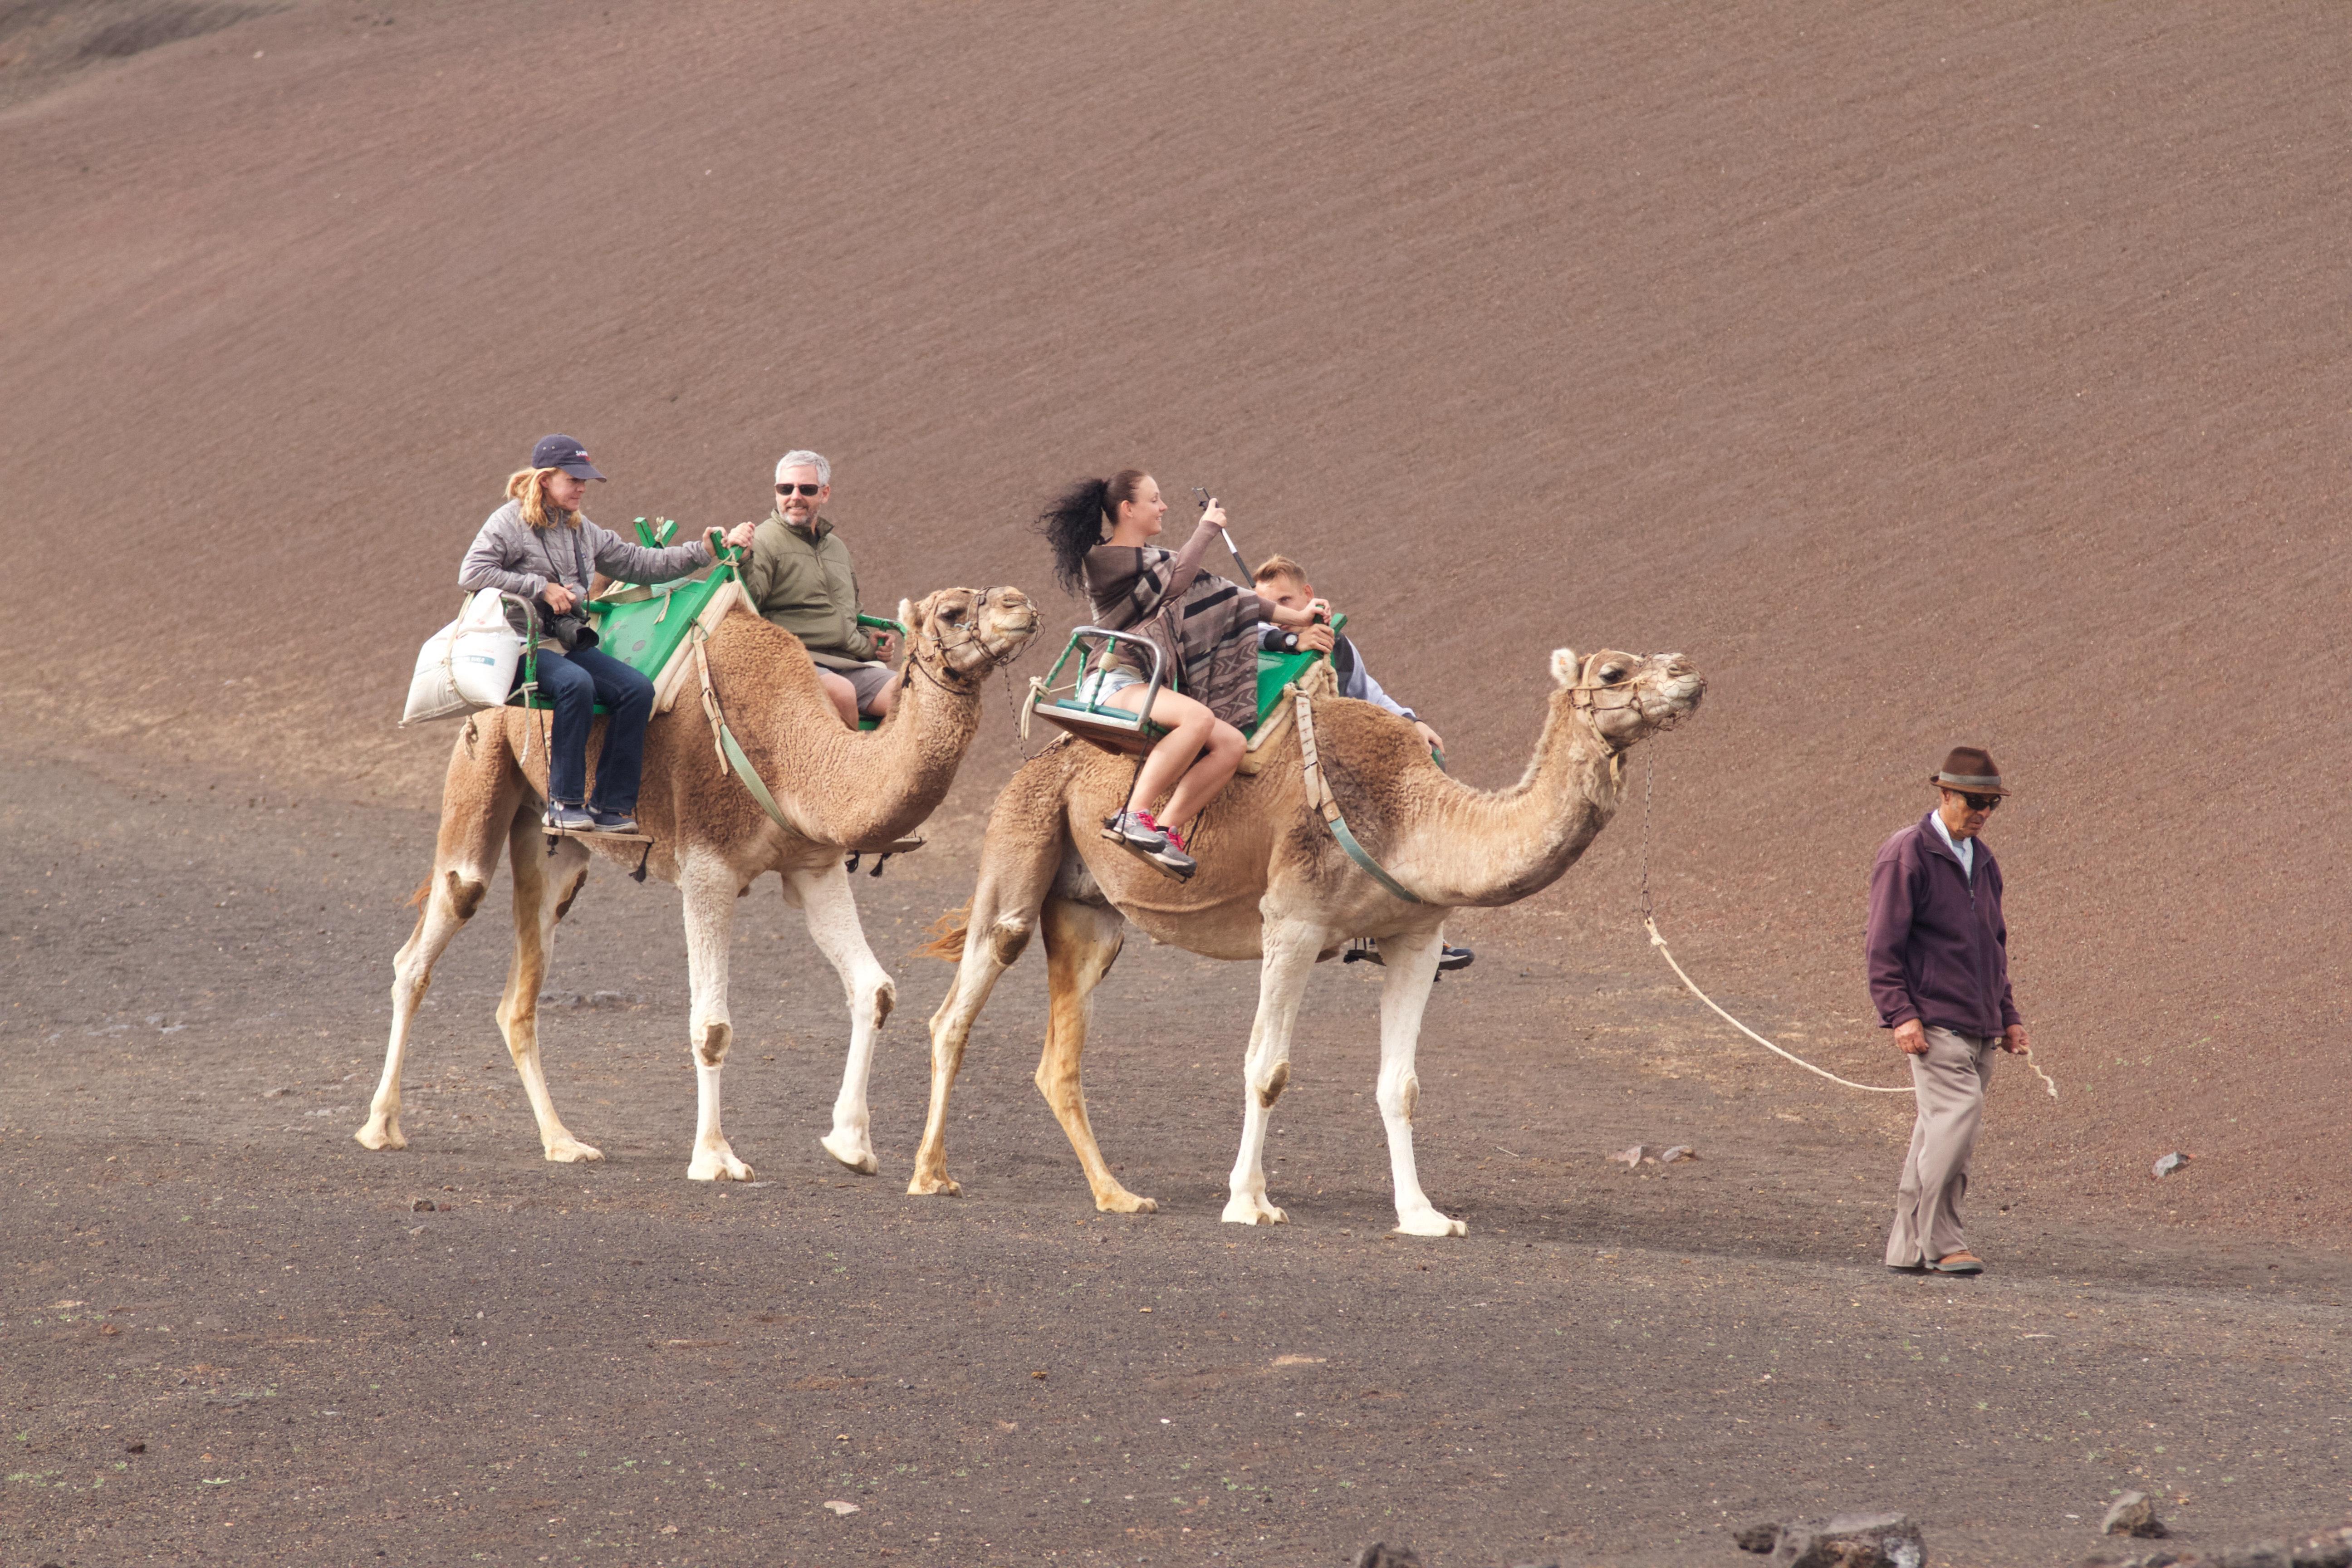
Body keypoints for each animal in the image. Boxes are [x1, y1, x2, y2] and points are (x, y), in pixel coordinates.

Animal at [357, 585, 1042, 1180]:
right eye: (952, 611)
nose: (1023, 606)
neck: (795, 749)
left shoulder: (812, 866)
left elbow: (873, 989)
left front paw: (851, 1144)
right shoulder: (708, 867)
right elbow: (712, 1026)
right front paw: (715, 1158)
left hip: (555, 843)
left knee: (518, 995)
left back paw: (565, 1143)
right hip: (482, 762)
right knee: (433, 930)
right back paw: (381, 1127)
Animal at [909, 644, 1703, 1235]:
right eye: (1614, 671)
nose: (1689, 672)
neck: (1412, 816)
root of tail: (1044, 754)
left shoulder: (1415, 938)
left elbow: (1401, 1084)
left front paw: (1424, 1216)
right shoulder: (1292, 922)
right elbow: (1268, 1068)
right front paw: (1249, 1203)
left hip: (1090, 914)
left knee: (1059, 1059)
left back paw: (1118, 1196)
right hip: (1022, 841)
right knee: (961, 1002)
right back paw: (929, 1176)